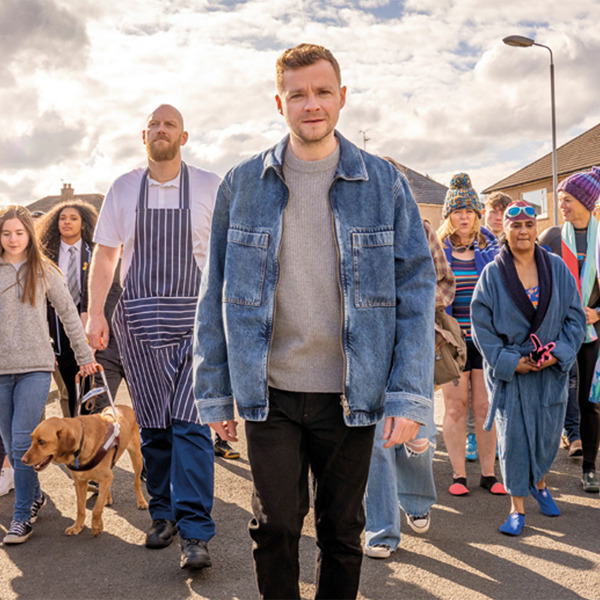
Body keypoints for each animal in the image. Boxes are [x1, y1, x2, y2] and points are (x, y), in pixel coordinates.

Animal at [22, 406, 147, 536]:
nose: (22, 460)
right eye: (31, 439)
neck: (81, 445)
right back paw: (107, 498)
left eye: (42, 442)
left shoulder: (105, 477)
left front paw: (96, 526)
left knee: (136, 482)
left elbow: (97, 508)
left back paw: (141, 501)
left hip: (137, 457)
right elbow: (80, 508)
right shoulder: (80, 481)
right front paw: (77, 527)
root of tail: (125, 407)